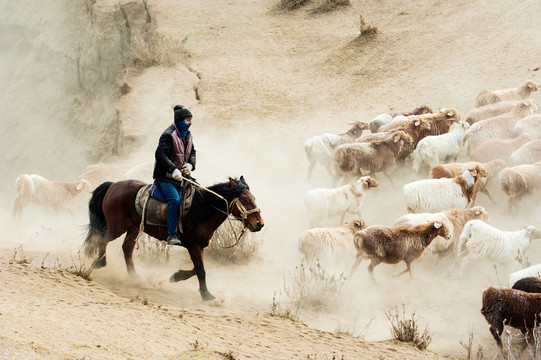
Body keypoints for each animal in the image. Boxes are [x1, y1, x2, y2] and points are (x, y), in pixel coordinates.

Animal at [81, 176, 264, 300]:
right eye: (245, 199)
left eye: (254, 198)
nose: (259, 224)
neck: (200, 209)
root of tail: (112, 185)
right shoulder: (194, 246)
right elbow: (201, 270)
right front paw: (206, 295)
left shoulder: (200, 246)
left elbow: (196, 269)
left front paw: (176, 276)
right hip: (116, 227)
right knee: (101, 240)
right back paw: (100, 263)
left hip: (133, 227)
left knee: (126, 248)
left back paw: (134, 277)